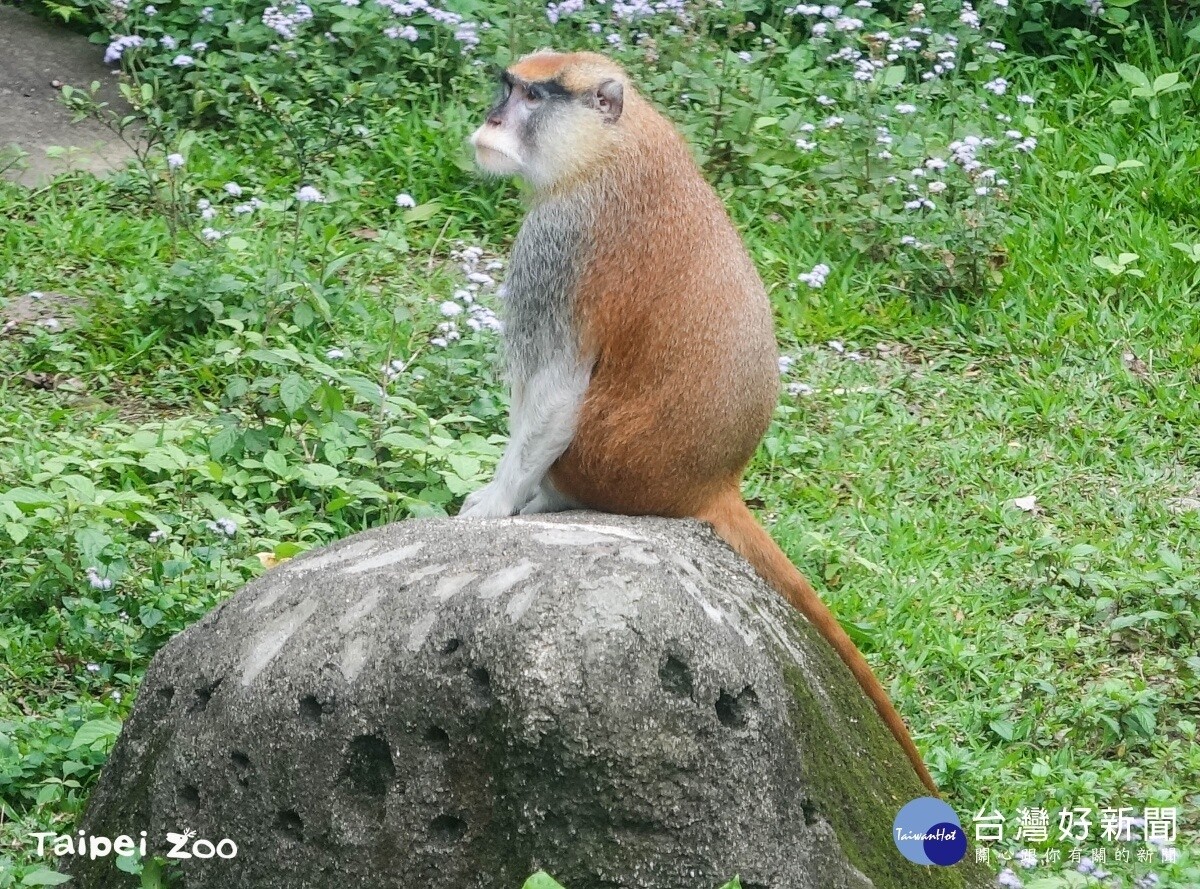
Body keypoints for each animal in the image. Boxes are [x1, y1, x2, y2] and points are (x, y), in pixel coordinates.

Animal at [458, 51, 936, 791]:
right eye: (509, 87)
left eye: (533, 97)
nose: (492, 119)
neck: (611, 144)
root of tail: (711, 485)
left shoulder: (561, 238)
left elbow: (556, 388)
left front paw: (496, 502)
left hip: (608, 457)